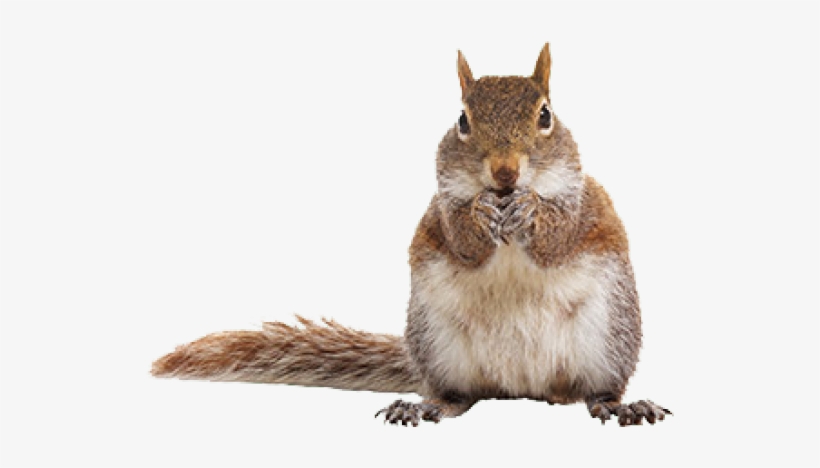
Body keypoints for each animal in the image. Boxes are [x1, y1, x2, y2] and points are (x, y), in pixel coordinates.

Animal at [151, 43, 672, 427]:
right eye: (462, 120)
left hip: (606, 341)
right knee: (458, 399)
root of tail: (520, 387)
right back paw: (422, 406)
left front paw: (531, 211)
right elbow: (461, 237)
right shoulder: (439, 211)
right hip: (439, 345)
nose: (505, 172)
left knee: (595, 392)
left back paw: (622, 405)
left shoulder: (583, 207)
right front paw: (480, 214)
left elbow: (558, 235)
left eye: (546, 116)